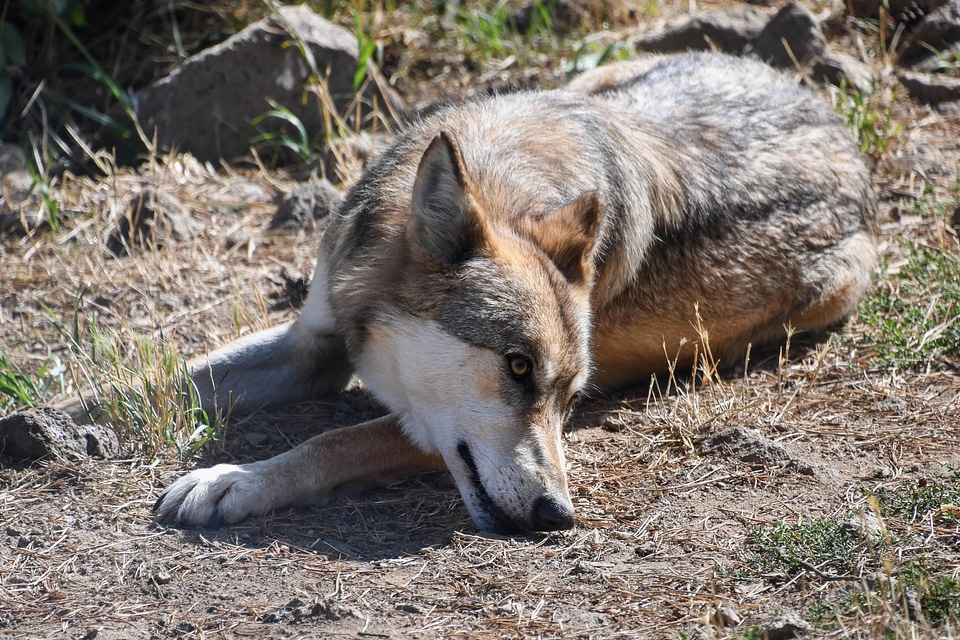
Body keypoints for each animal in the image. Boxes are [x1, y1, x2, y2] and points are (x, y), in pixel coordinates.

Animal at [144, 53, 876, 536]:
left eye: (572, 399)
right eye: (518, 367)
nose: (560, 516)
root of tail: (841, 126)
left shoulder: (419, 425)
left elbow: (333, 441)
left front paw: (236, 481)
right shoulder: (313, 343)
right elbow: (164, 382)